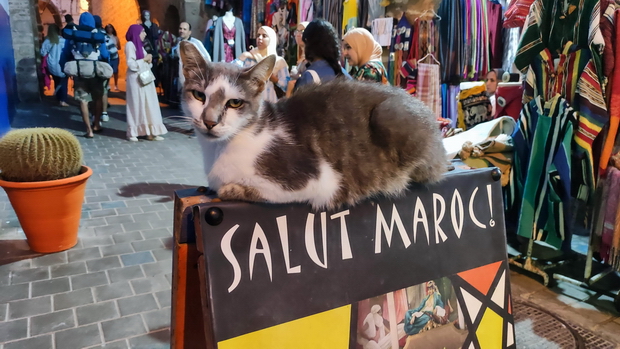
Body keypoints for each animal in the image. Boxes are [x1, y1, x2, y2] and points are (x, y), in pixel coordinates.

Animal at [178, 40, 446, 209]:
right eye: (199, 96)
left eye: (234, 103)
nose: (210, 121)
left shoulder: (319, 179)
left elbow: (258, 191)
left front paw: (231, 189)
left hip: (390, 115)